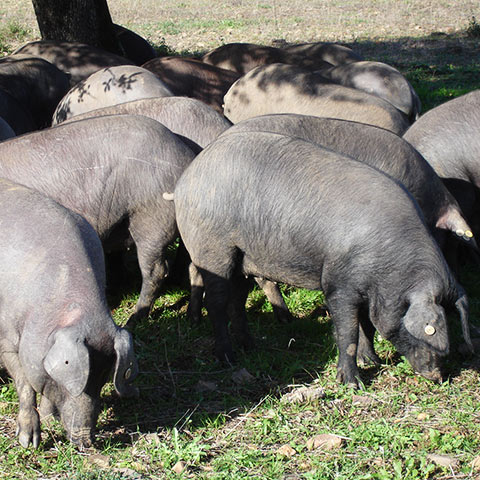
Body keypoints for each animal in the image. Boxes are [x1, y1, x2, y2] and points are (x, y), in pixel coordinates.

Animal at [0, 178, 137, 448]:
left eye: (104, 377)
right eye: (74, 383)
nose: (86, 440)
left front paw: (50, 420)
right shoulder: (7, 338)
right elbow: (24, 384)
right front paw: (29, 443)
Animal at [173, 130, 472, 386]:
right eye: (432, 332)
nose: (437, 377)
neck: (390, 269)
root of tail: (186, 178)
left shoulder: (368, 289)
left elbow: (366, 324)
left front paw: (371, 360)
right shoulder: (338, 283)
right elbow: (347, 330)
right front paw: (353, 383)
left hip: (244, 258)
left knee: (238, 299)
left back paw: (251, 346)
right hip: (212, 250)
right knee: (217, 302)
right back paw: (227, 358)